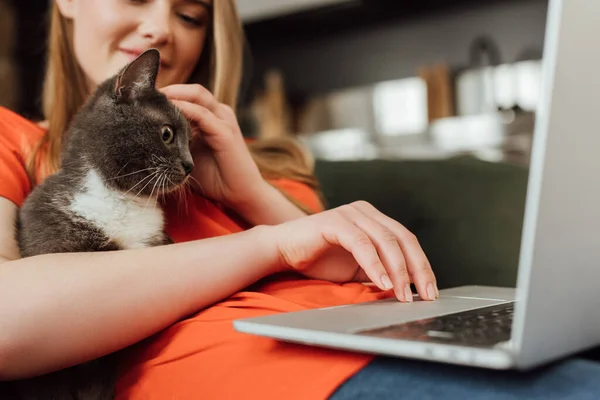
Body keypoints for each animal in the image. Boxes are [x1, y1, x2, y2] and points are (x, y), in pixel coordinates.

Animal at [1, 49, 192, 400]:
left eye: (190, 140)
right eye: (167, 134)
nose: (191, 165)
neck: (122, 200)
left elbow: (100, 378)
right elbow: (51, 384)